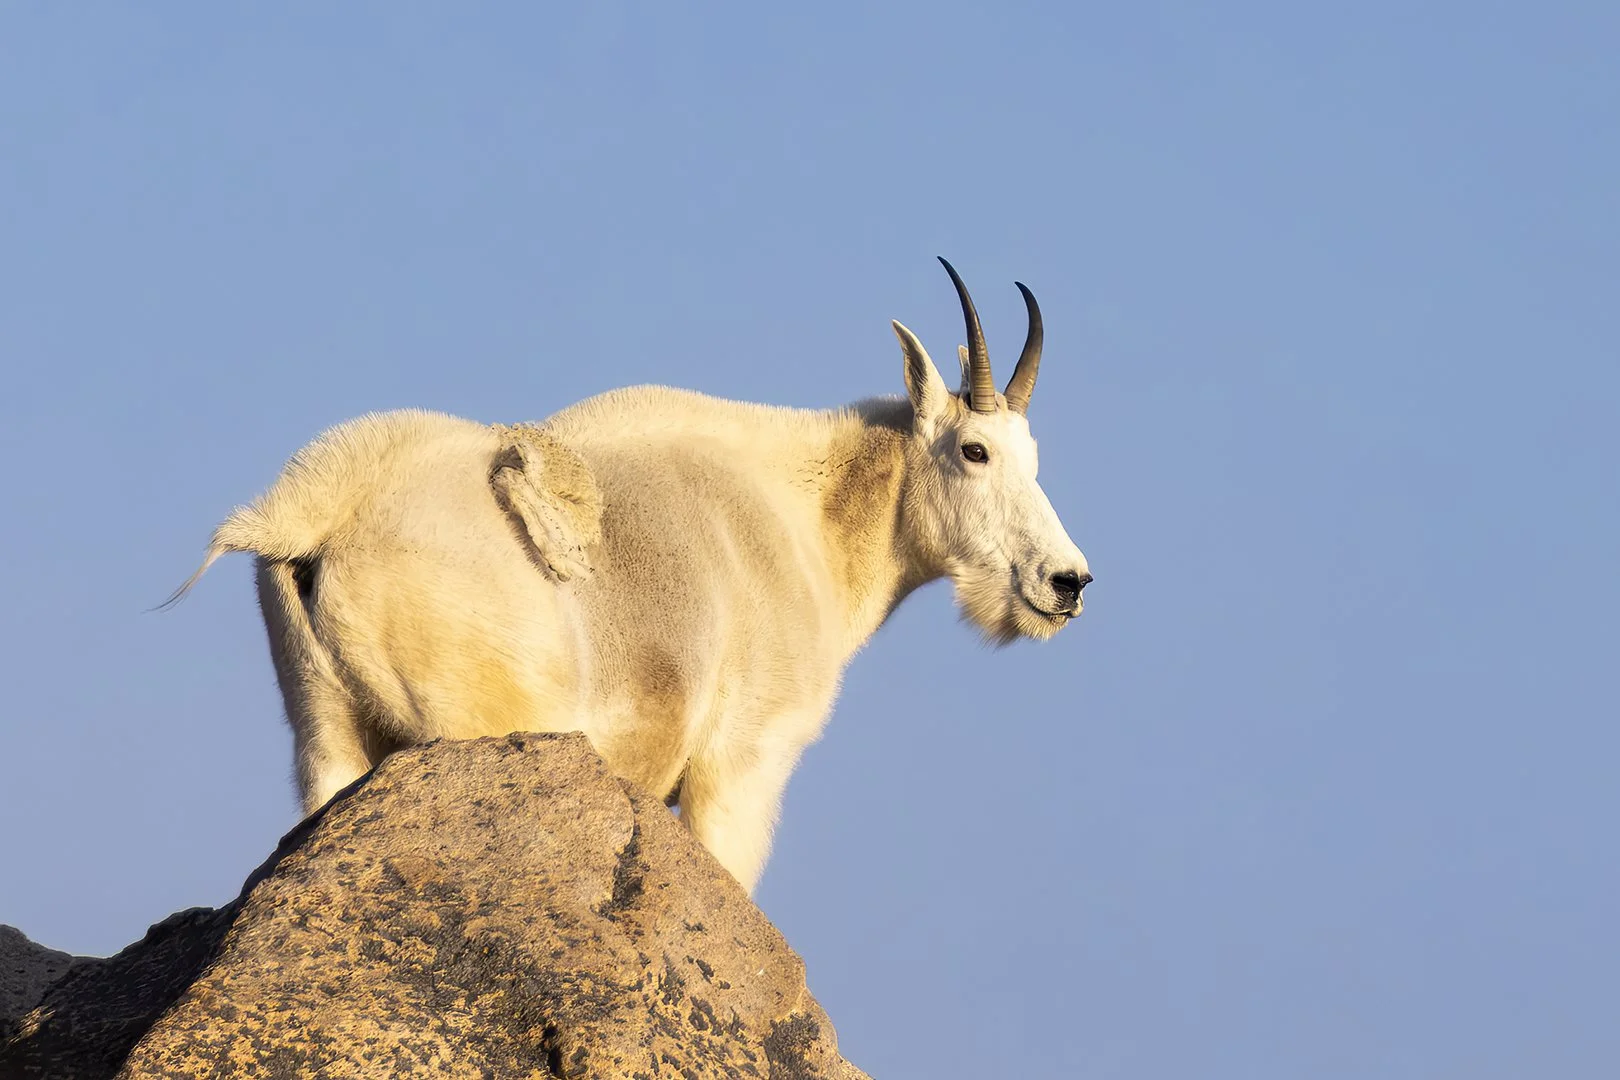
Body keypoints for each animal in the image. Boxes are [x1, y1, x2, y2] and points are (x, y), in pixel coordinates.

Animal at [168, 258, 1092, 893]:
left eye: (1034, 458)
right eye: (974, 450)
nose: (1067, 582)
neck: (806, 518)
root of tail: (317, 510)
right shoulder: (742, 762)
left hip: (324, 731)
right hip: (468, 725)